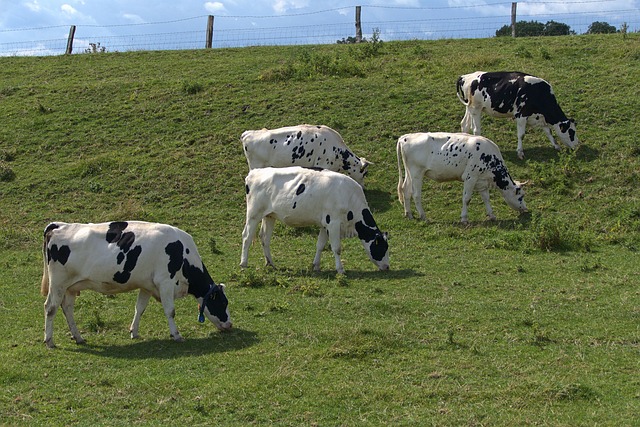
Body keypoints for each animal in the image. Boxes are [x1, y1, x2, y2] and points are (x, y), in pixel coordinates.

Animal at [41, 221, 232, 348]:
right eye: (223, 303)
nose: (230, 325)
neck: (183, 254)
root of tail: (58, 225)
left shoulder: (147, 285)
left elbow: (139, 308)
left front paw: (134, 332)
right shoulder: (165, 281)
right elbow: (170, 311)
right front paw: (177, 335)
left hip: (70, 287)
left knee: (67, 309)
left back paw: (78, 337)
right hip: (57, 284)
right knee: (50, 308)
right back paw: (50, 341)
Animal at [240, 166, 389, 274]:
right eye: (382, 248)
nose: (387, 267)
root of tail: (255, 172)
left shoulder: (325, 224)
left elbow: (320, 245)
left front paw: (316, 265)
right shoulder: (333, 223)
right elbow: (336, 248)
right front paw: (340, 269)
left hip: (269, 215)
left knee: (264, 238)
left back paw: (270, 263)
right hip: (253, 214)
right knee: (247, 236)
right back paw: (243, 264)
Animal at [397, 132, 527, 224]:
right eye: (521, 196)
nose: (526, 209)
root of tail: (406, 137)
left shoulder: (481, 181)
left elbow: (486, 198)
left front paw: (492, 215)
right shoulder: (470, 177)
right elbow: (467, 199)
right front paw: (464, 218)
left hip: (409, 173)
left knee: (405, 190)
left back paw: (408, 214)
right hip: (417, 173)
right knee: (416, 194)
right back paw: (423, 216)